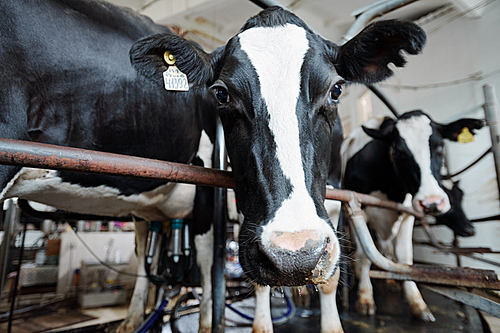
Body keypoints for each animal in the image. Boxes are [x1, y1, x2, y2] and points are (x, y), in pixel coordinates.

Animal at [1, 1, 426, 330]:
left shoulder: (332, 198)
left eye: (336, 89)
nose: (294, 255)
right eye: (221, 93)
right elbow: (216, 270)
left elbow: (326, 276)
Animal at [342, 110, 482, 320]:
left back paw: (391, 282)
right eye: (398, 152)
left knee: (386, 248)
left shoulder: (408, 213)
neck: (390, 188)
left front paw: (417, 303)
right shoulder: (356, 207)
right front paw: (365, 299)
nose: (432, 202)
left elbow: (405, 257)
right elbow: (364, 255)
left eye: (440, 146)